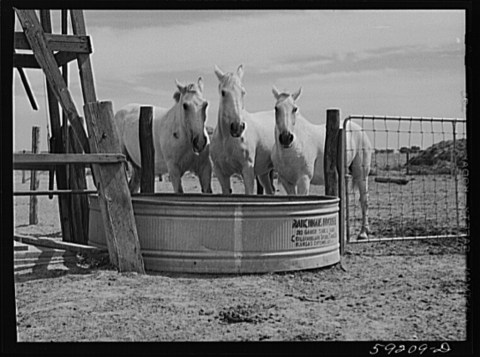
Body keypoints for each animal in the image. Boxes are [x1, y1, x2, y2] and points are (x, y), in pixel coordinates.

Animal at [212, 66, 276, 195]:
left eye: (243, 92)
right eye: (223, 92)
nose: (237, 127)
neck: (227, 141)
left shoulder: (247, 171)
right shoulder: (221, 174)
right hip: (264, 173)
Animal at [272, 85, 374, 239]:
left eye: (294, 109)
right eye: (276, 108)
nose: (286, 137)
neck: (295, 145)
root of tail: (359, 129)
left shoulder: (304, 179)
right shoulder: (286, 181)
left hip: (361, 173)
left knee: (364, 200)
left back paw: (363, 233)